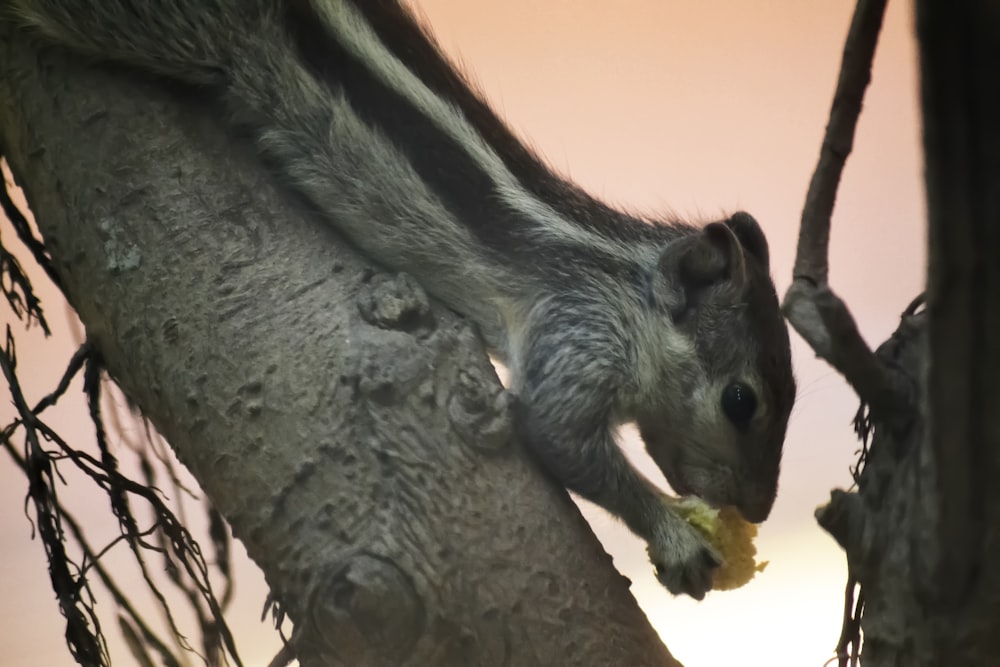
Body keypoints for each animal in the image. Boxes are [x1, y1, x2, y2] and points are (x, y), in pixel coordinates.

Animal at [5, 0, 788, 600]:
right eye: (740, 401)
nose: (758, 507)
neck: (620, 280)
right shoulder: (578, 336)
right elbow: (559, 435)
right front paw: (673, 535)